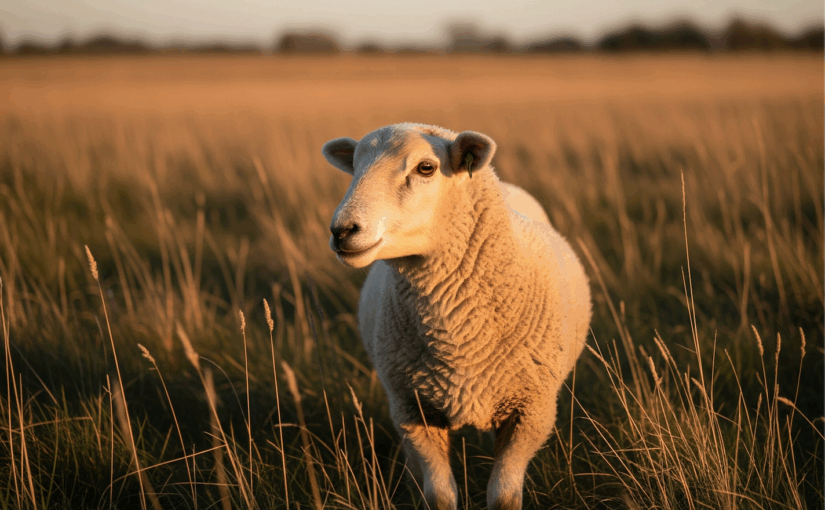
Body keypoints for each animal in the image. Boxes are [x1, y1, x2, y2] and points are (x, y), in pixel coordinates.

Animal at [322, 123, 591, 510]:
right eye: (354, 167)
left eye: (426, 168)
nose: (342, 231)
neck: (459, 340)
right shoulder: (413, 409)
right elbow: (439, 496)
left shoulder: (531, 413)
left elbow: (503, 496)